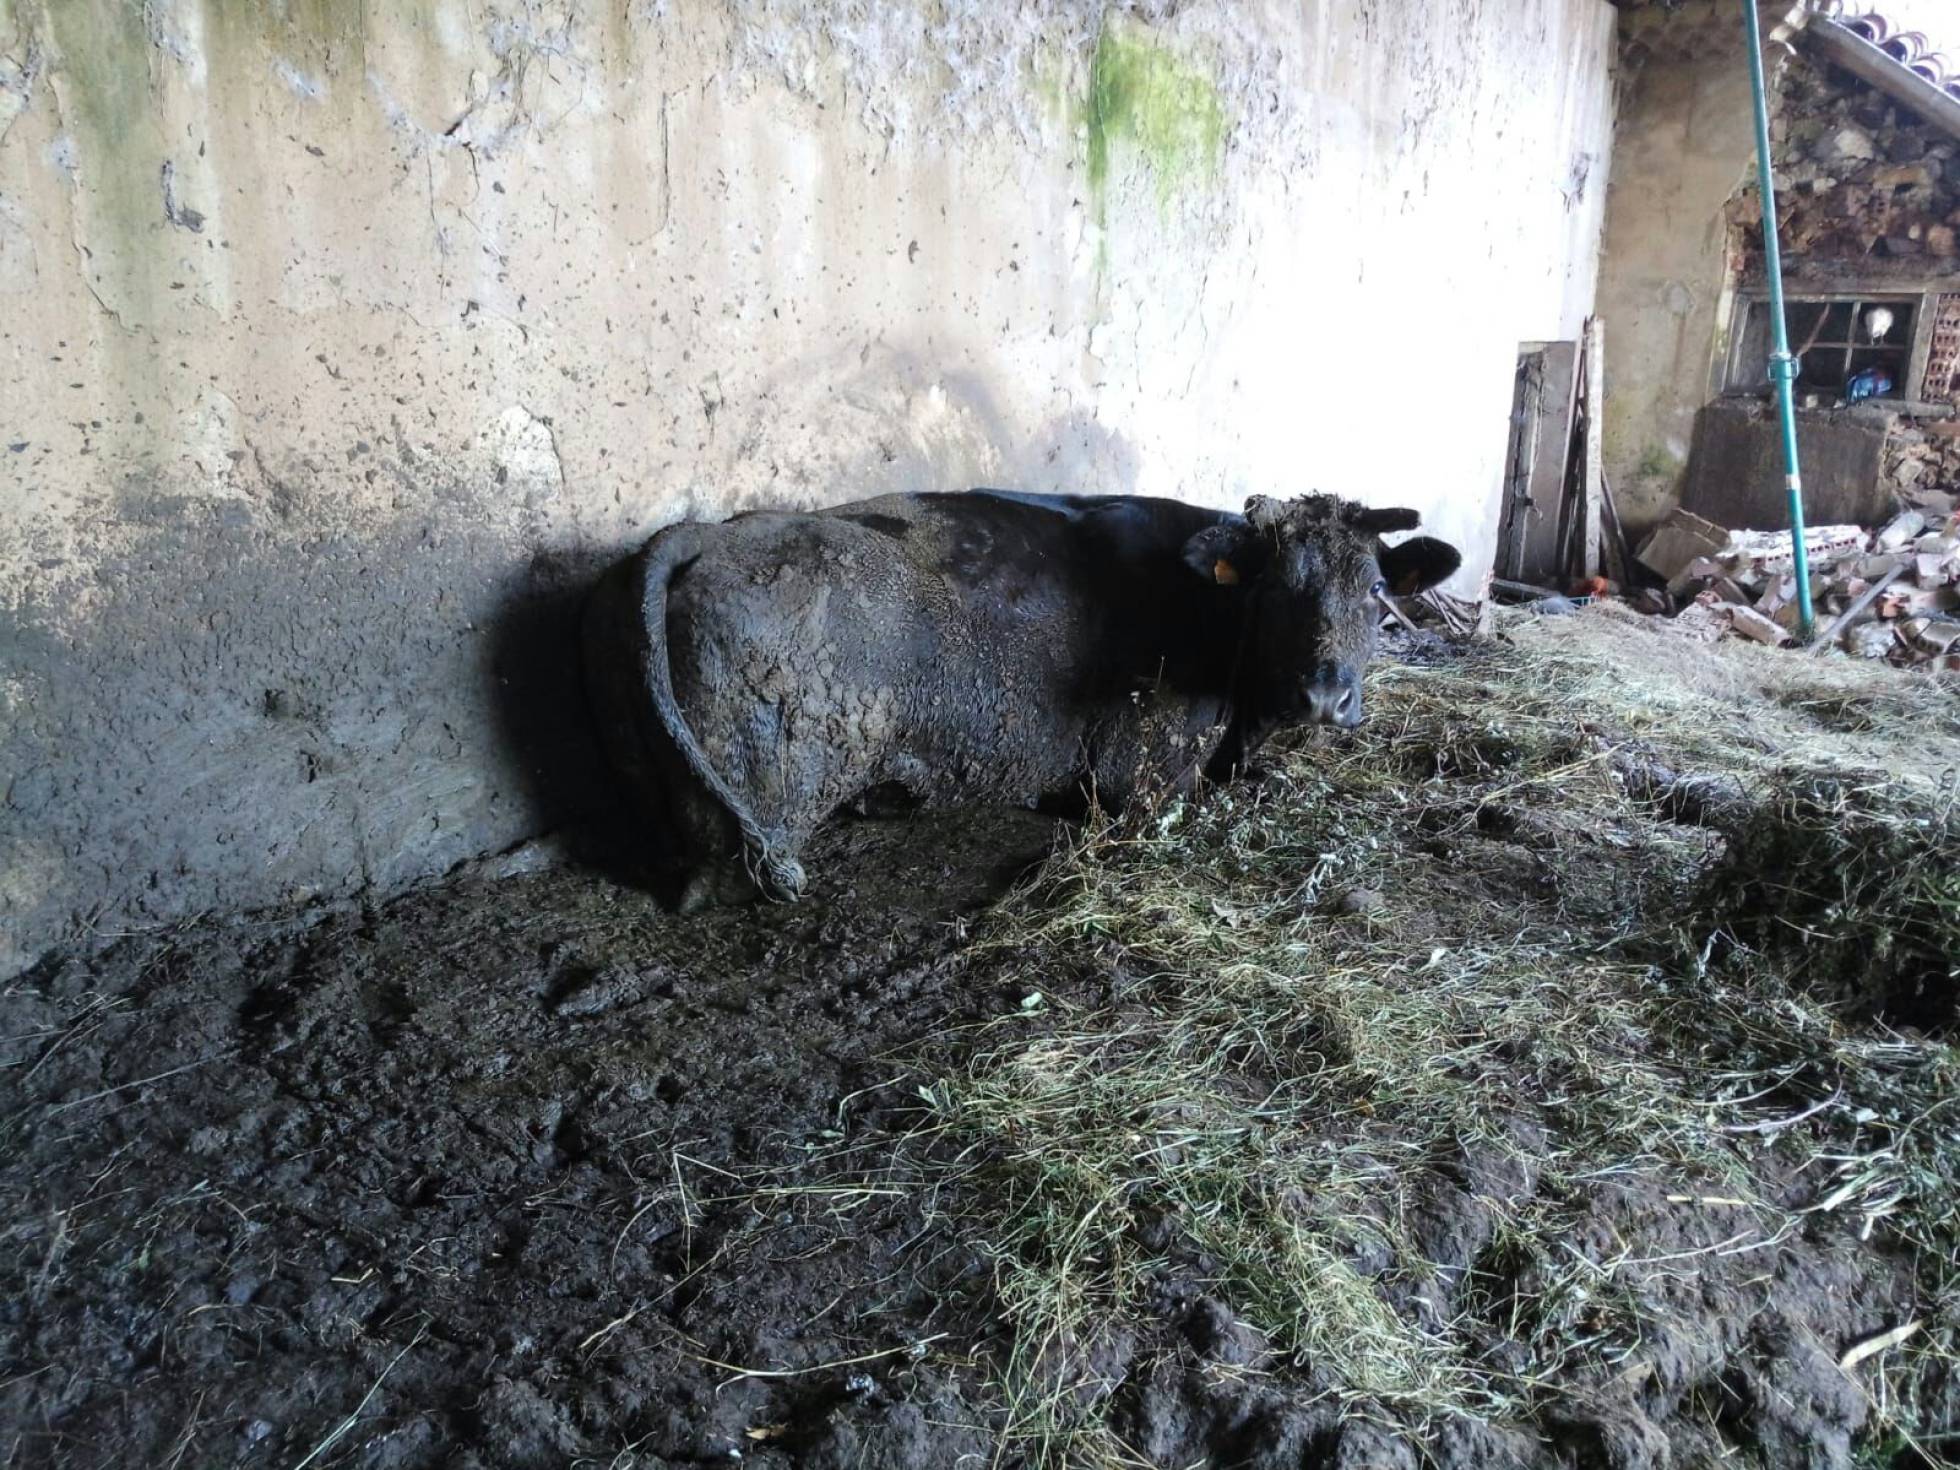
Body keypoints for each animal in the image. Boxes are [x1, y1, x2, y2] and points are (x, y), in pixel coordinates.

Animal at [588, 491, 1466, 909]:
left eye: (1376, 588)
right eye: (1277, 589)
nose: (1326, 694)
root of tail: (714, 532)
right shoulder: (1142, 778)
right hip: (763, 808)